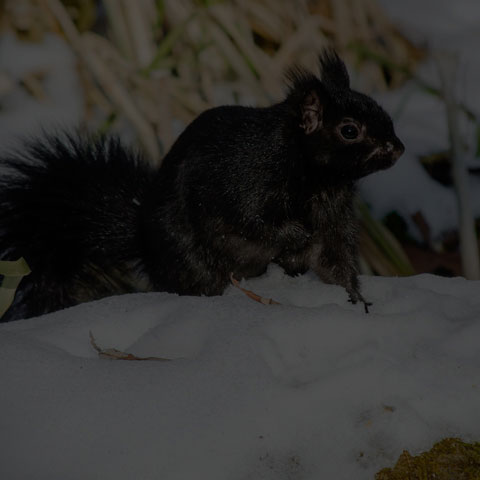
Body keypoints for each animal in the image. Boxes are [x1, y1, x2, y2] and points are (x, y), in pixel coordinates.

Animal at [0, 50, 404, 320]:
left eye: (381, 111)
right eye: (349, 130)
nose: (397, 148)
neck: (317, 180)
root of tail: (143, 240)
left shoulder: (334, 218)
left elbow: (336, 262)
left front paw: (357, 302)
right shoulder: (242, 183)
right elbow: (253, 221)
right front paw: (295, 235)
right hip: (190, 258)